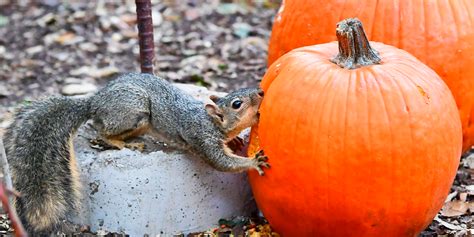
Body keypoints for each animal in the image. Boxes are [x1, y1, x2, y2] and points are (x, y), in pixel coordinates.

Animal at [2, 72, 270, 235]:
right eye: (237, 104)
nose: (260, 92)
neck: (209, 121)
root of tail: (94, 102)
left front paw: (237, 140)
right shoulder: (203, 140)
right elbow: (222, 163)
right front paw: (253, 161)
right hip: (135, 111)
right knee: (101, 129)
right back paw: (122, 143)